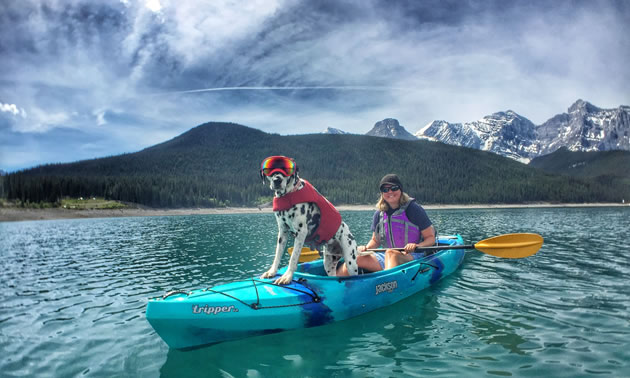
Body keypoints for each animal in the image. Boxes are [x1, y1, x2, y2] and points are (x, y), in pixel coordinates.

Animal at [256, 155, 356, 284]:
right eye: (269, 169)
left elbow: (293, 258)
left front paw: (287, 276)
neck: (289, 195)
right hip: (329, 263)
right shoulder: (282, 232)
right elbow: (277, 255)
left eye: (287, 169)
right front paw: (272, 272)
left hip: (351, 261)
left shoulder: (301, 233)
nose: (277, 180)